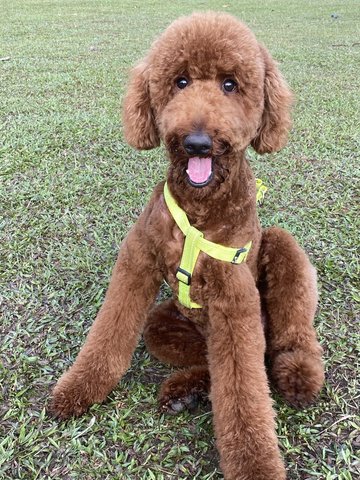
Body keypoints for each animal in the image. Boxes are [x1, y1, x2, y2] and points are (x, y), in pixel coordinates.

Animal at [52, 12, 324, 480]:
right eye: (180, 82)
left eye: (230, 84)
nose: (197, 142)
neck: (198, 212)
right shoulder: (137, 261)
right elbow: (107, 334)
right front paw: (76, 389)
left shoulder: (234, 300)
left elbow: (244, 394)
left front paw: (255, 464)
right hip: (164, 326)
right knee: (213, 363)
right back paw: (185, 391)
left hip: (279, 258)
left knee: (285, 338)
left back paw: (298, 374)